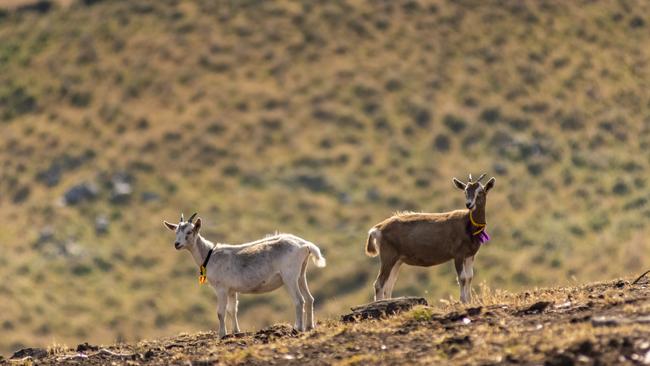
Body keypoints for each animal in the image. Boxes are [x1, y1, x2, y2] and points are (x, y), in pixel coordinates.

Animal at [162, 212, 324, 338]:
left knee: (299, 300)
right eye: (176, 232)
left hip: (289, 276)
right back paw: (310, 327)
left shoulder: (221, 288)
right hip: (301, 274)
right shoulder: (232, 290)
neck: (209, 254)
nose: (177, 244)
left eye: (189, 232)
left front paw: (221, 335)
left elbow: (220, 312)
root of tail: (305, 245)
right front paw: (236, 331)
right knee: (309, 298)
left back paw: (298, 328)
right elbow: (232, 310)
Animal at [362, 174, 494, 304]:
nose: (469, 204)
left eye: (480, 191)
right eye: (465, 191)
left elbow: (470, 277)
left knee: (389, 285)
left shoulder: (470, 255)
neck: (468, 225)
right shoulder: (458, 255)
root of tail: (377, 229)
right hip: (388, 256)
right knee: (379, 283)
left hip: (397, 260)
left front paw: (469, 301)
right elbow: (462, 278)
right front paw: (463, 301)